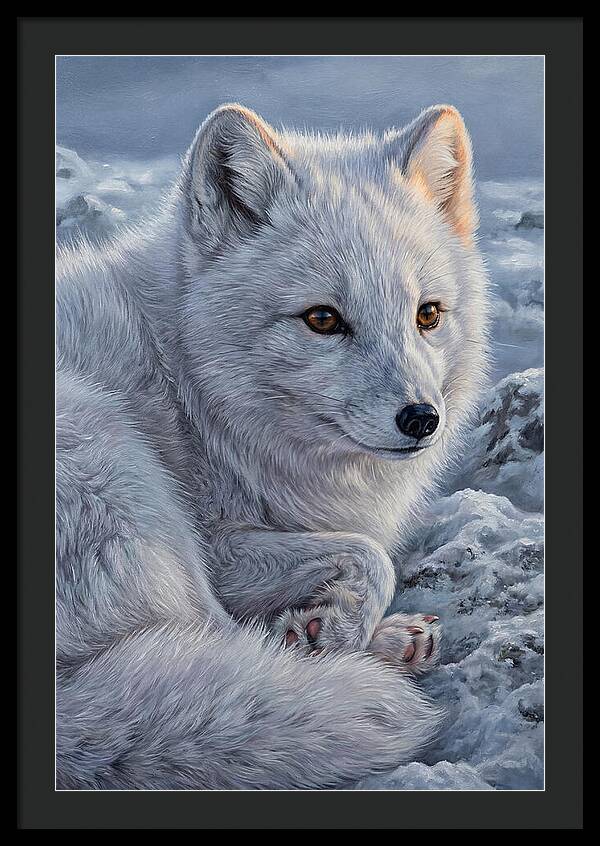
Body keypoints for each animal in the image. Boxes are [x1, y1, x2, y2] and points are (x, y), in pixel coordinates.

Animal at [56, 102, 489, 790]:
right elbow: (372, 556)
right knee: (215, 639)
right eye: (322, 319)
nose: (422, 419)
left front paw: (330, 625)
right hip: (117, 466)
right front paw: (334, 630)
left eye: (428, 315)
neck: (186, 382)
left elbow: (361, 555)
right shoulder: (217, 545)